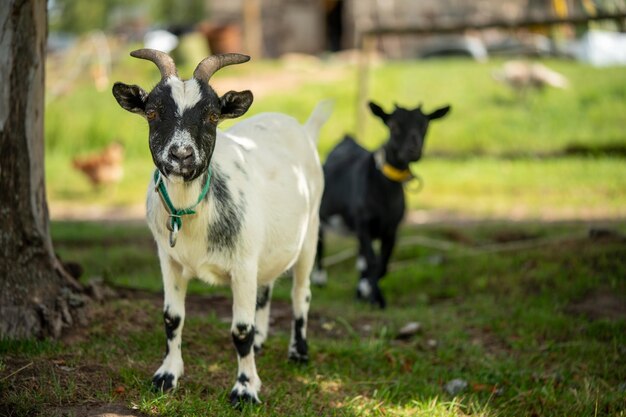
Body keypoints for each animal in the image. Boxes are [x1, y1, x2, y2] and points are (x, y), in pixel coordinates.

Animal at [111, 48, 332, 404]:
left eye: (213, 115)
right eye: (153, 112)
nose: (181, 155)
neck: (191, 214)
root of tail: (301, 127)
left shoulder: (242, 264)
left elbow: (240, 330)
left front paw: (245, 389)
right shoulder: (169, 259)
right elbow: (172, 318)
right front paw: (166, 376)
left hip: (309, 231)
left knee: (301, 293)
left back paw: (298, 352)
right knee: (265, 288)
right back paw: (262, 341)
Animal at [312, 102, 448, 308]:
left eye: (425, 125)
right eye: (393, 125)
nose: (413, 150)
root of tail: (346, 138)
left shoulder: (391, 229)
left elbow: (382, 264)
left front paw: (368, 292)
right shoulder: (363, 224)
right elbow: (373, 261)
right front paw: (376, 298)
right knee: (319, 243)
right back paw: (319, 280)